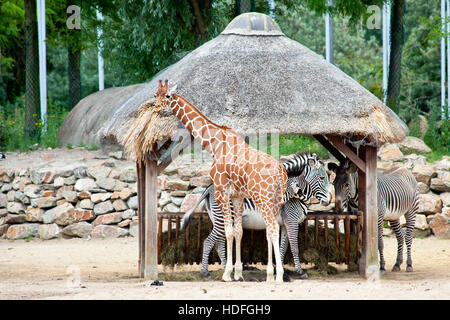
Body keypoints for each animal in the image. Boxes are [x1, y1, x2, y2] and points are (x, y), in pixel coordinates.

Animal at [155, 80, 288, 282]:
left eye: (168, 96)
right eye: (155, 94)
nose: (156, 108)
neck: (214, 144)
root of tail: (280, 171)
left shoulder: (221, 191)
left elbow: (229, 231)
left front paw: (227, 274)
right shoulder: (237, 196)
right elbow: (239, 231)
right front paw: (238, 273)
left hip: (263, 198)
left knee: (272, 228)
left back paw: (278, 276)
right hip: (276, 200)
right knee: (271, 230)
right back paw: (270, 275)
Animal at [181, 152, 332, 280]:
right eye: (322, 178)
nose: (329, 201)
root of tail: (209, 188)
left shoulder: (284, 223)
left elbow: (282, 247)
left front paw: (281, 272)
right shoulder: (291, 221)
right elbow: (294, 246)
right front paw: (300, 272)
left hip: (220, 220)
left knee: (220, 244)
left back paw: (228, 271)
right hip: (222, 218)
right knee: (208, 242)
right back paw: (206, 272)